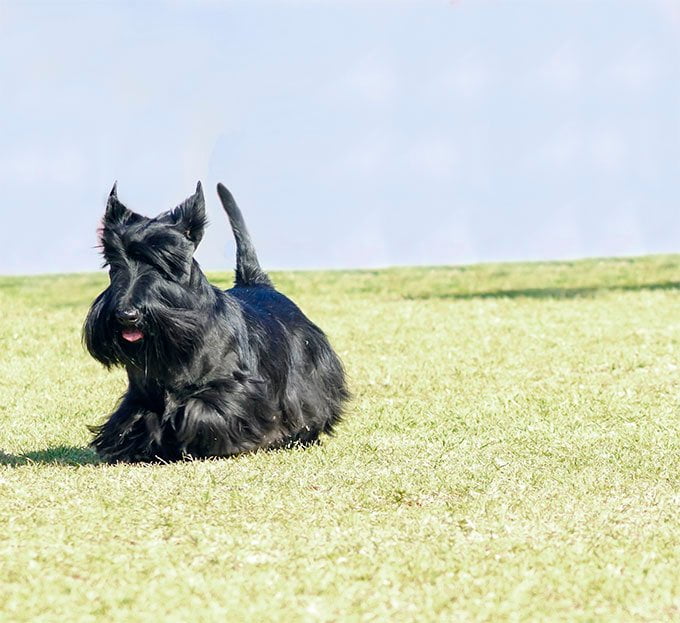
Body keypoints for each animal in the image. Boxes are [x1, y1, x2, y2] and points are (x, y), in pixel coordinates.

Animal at [84, 182, 348, 464]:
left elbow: (199, 410)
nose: (126, 315)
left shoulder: (235, 391)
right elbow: (142, 419)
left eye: (165, 262)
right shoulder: (141, 397)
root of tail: (258, 283)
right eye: (113, 262)